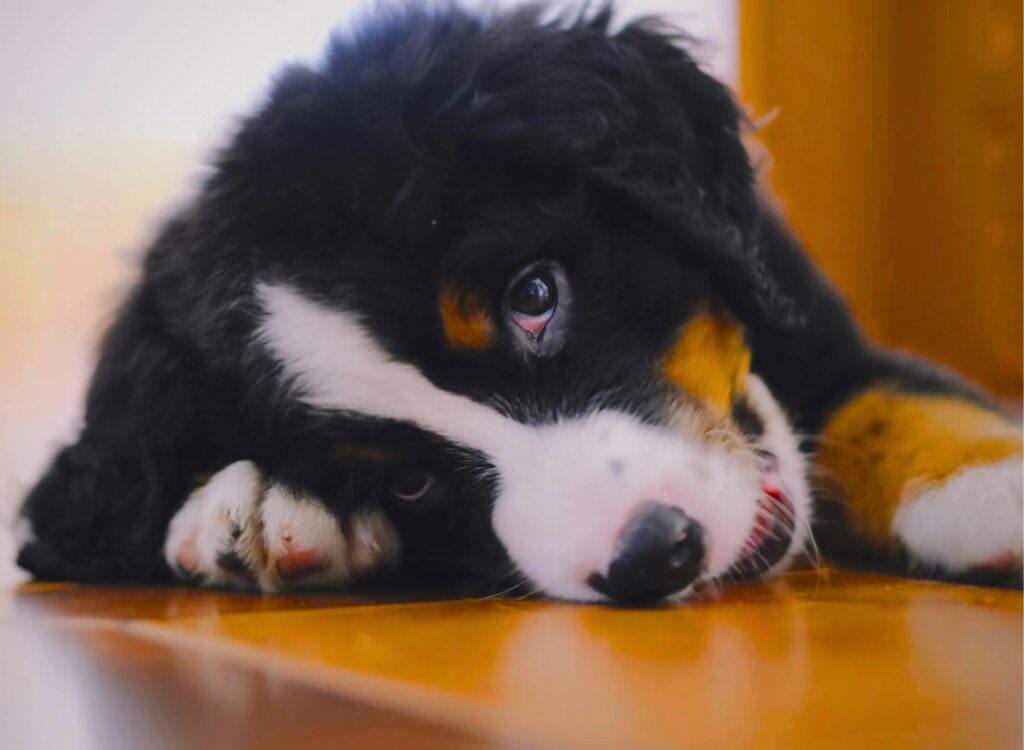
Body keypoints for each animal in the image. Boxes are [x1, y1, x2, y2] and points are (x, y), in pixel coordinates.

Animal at [18, 2, 1024, 602]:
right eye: (407, 481)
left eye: (534, 296)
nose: (654, 555)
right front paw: (260, 499)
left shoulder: (821, 331)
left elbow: (896, 410)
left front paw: (992, 483)